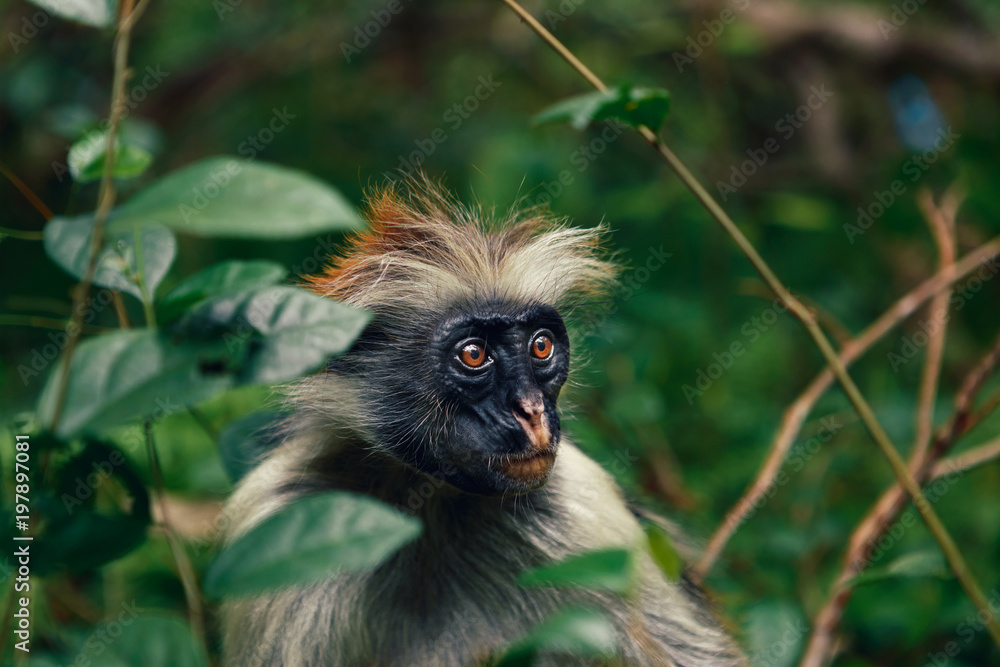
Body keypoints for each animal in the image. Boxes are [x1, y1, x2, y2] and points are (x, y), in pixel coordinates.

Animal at [218, 179, 745, 667]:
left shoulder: (581, 505)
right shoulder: (279, 521)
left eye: (540, 346)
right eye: (474, 354)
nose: (532, 410)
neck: (429, 507)